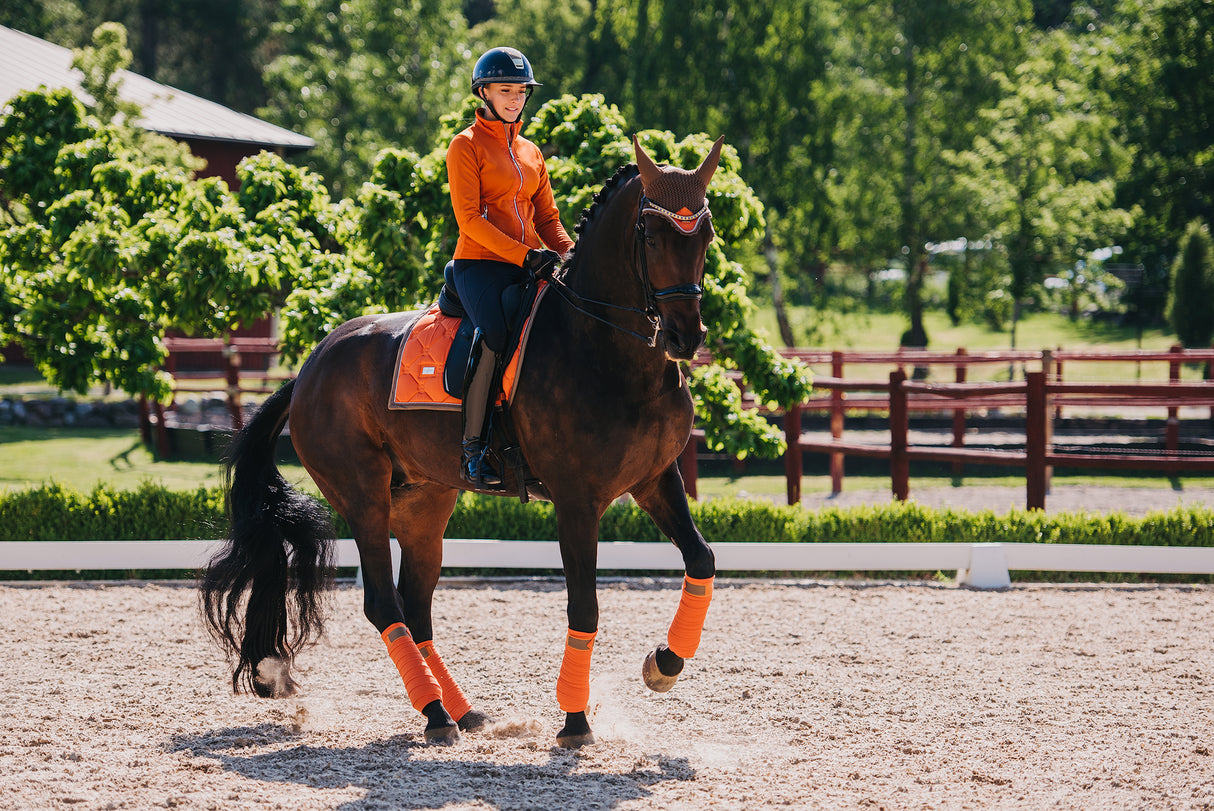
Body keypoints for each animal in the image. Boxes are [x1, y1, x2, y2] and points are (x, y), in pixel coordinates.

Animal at [201, 132, 718, 747]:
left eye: (706, 235)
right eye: (654, 236)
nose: (686, 336)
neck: (606, 347)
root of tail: (309, 369)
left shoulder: (655, 480)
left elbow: (702, 559)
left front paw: (664, 664)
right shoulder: (576, 500)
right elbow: (584, 608)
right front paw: (573, 722)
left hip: (425, 502)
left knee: (415, 605)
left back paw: (459, 711)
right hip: (363, 496)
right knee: (384, 603)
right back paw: (435, 712)